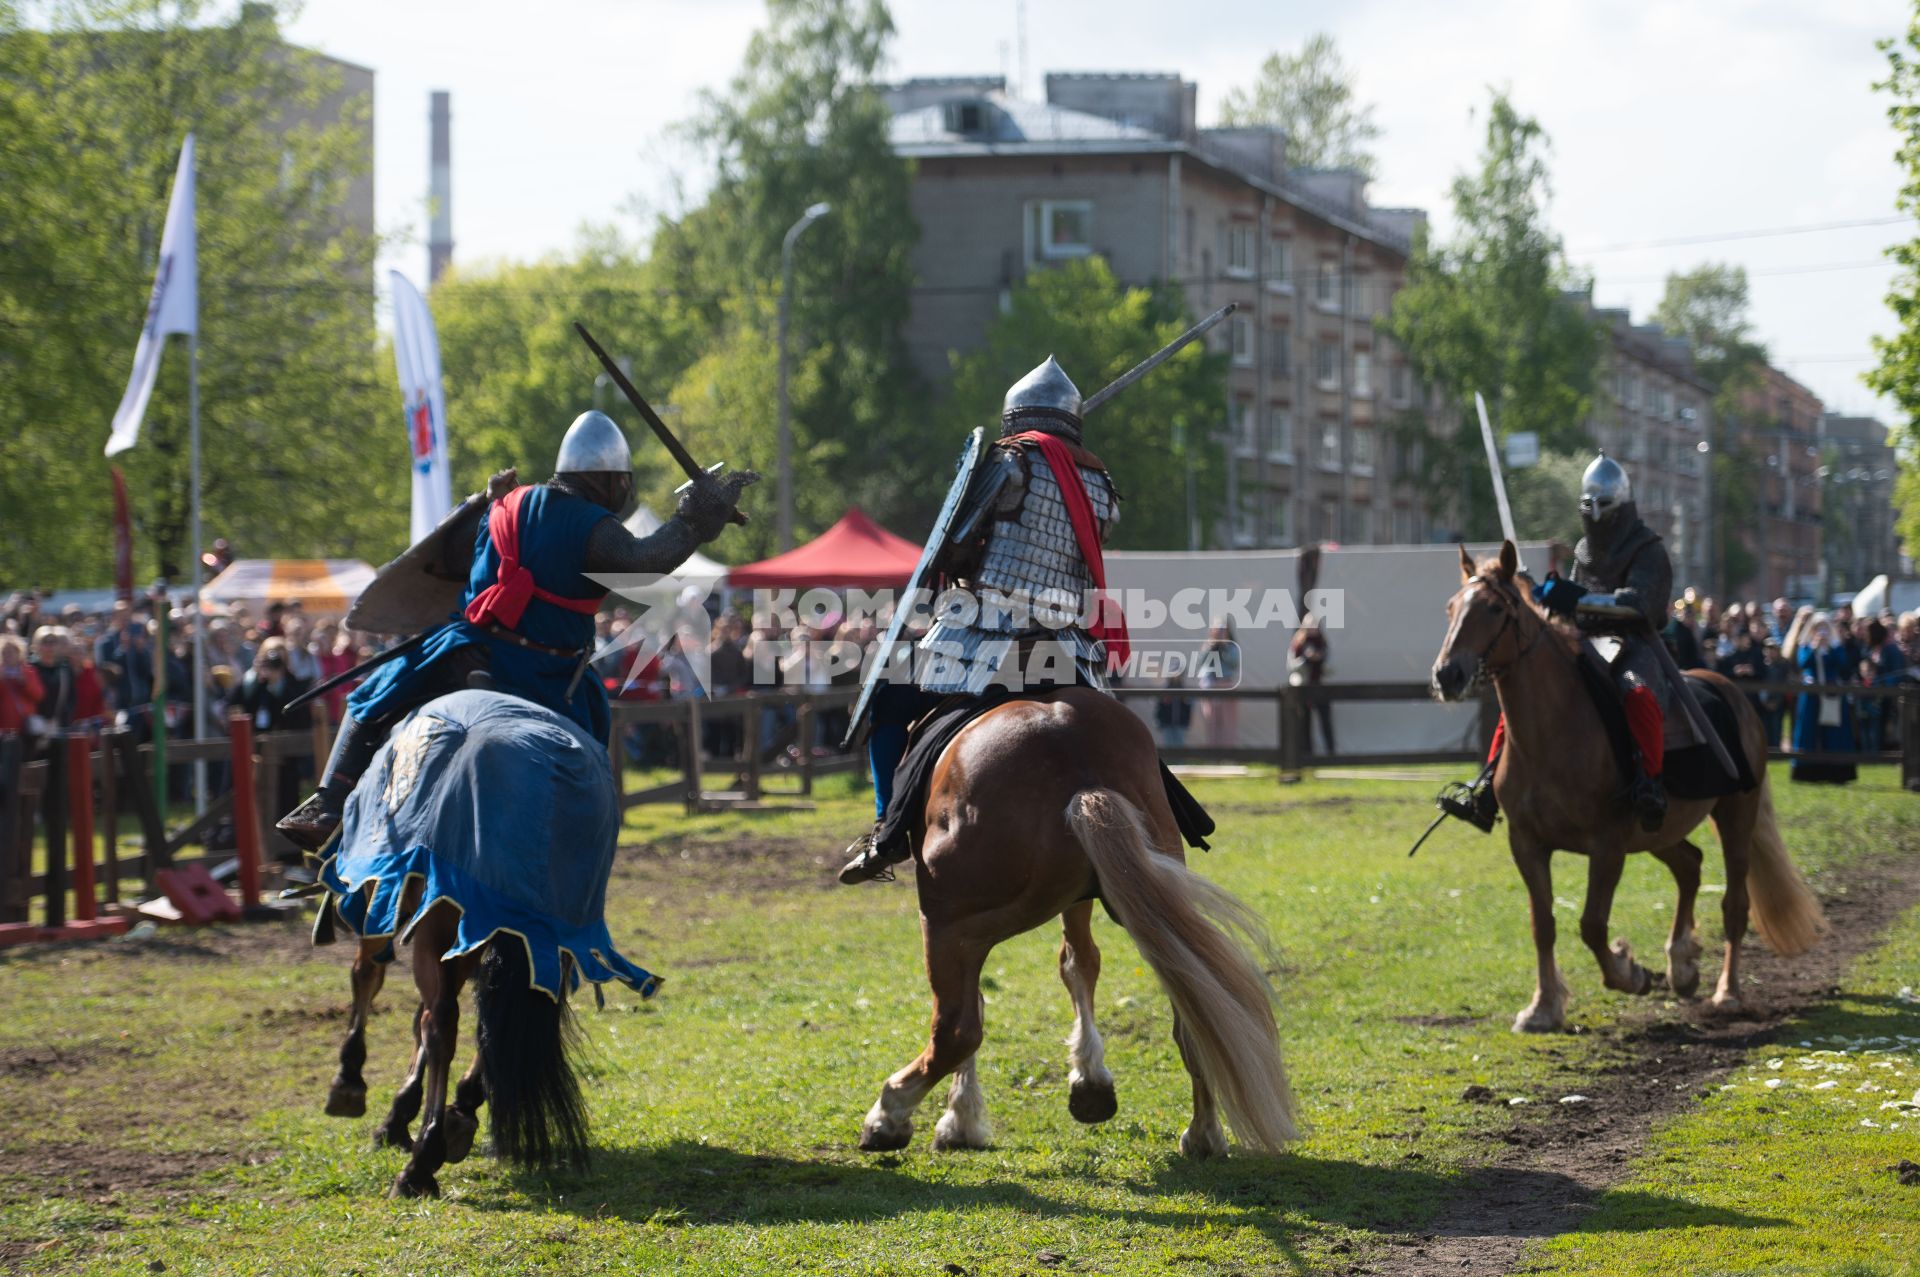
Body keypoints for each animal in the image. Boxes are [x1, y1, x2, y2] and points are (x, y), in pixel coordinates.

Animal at [303, 687, 656, 1198]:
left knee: (440, 1021)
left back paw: (421, 1162)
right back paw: (457, 1116)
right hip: (546, 935)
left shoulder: (383, 892)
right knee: (491, 1021)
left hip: (444, 921)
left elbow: (370, 981)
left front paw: (355, 1085)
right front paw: (411, 1113)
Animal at [860, 687, 1297, 1152]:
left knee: (957, 1028)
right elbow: (1079, 963)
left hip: (952, 922)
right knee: (1192, 1004)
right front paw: (1090, 1081)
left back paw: (890, 1115)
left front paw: (959, 1120)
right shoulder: (1079, 897)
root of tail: (1074, 758)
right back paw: (1204, 1133)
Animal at [1428, 541, 1827, 1029]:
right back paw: (1682, 963)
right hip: (1659, 829)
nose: (1447, 675)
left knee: (1734, 904)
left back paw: (1726, 992)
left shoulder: (1608, 846)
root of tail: (1728, 688)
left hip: (1735, 816)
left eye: (1492, 608)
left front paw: (1629, 973)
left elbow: (1592, 925)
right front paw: (1542, 1007)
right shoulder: (1527, 843)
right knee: (1689, 866)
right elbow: (1543, 925)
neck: (1552, 732)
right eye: (1451, 608)